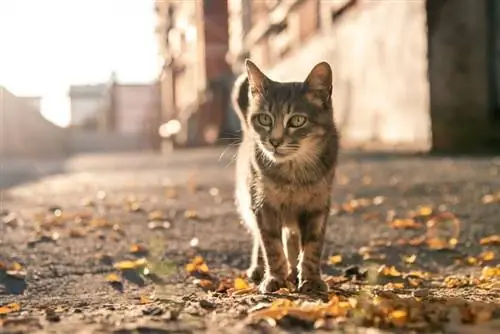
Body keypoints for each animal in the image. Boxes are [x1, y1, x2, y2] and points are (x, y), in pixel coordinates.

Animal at [231, 60, 340, 294]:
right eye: (265, 119)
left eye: (297, 120)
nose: (274, 141)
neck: (293, 175)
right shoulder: (263, 206)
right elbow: (271, 246)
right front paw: (275, 278)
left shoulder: (317, 207)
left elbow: (312, 247)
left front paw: (310, 279)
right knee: (260, 238)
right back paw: (260, 269)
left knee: (291, 238)